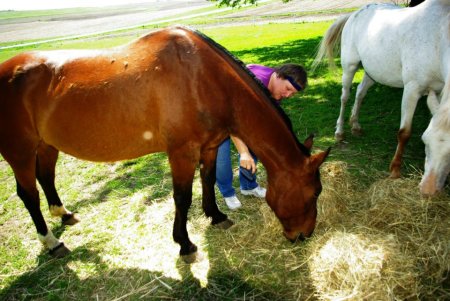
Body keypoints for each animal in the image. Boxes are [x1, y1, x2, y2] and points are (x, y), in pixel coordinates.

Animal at [0, 26, 330, 260]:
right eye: (315, 193)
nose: (304, 235)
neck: (203, 77)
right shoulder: (181, 152)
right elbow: (182, 197)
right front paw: (184, 243)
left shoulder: (210, 146)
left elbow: (208, 180)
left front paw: (216, 216)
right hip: (20, 151)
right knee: (28, 194)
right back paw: (51, 242)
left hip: (46, 144)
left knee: (46, 176)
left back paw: (64, 214)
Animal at [312, 0, 450, 193]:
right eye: (425, 141)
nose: (428, 189)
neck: (439, 39)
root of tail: (354, 13)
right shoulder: (412, 89)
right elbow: (404, 133)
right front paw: (395, 171)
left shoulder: (437, 92)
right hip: (349, 66)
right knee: (345, 97)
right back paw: (340, 132)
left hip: (372, 72)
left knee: (360, 93)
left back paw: (355, 125)